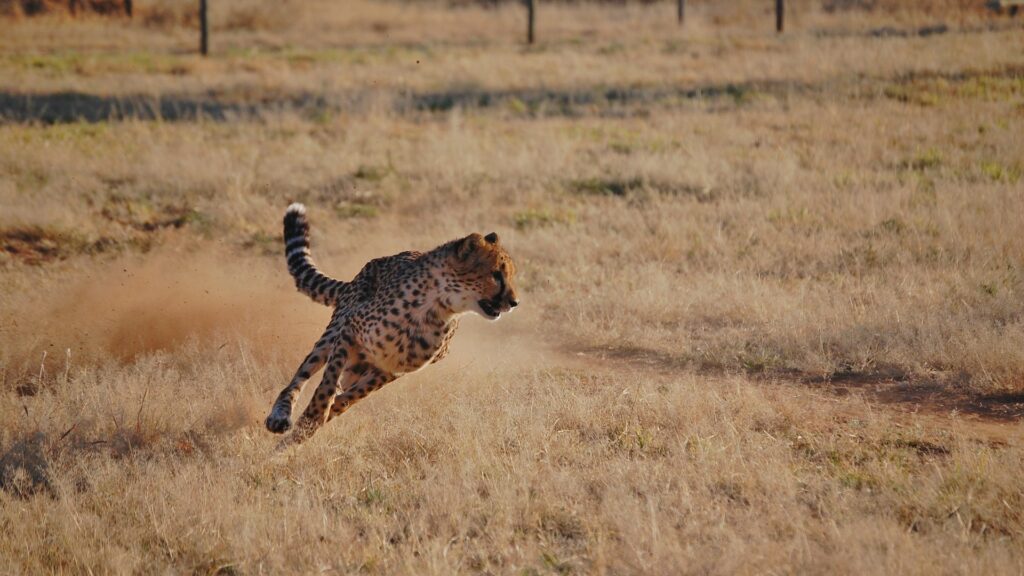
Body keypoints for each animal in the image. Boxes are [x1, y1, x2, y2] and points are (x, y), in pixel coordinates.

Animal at [264, 202, 520, 444]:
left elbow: (351, 397)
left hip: (359, 366)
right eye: (496, 274)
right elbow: (326, 385)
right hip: (333, 335)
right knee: (300, 376)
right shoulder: (349, 331)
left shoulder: (390, 368)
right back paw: (280, 416)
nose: (515, 302)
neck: (436, 306)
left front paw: (319, 420)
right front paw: (311, 419)